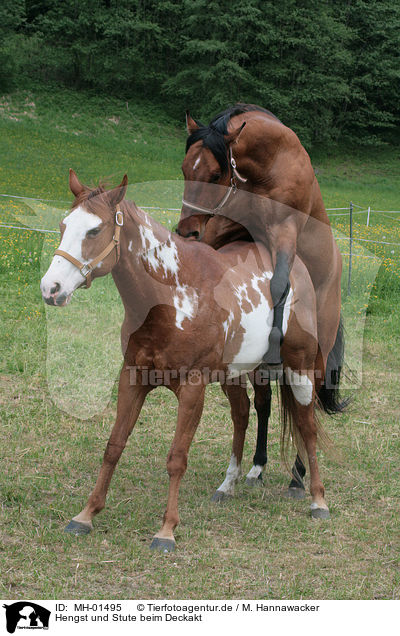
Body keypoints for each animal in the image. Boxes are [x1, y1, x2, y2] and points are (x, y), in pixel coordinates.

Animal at [39, 170, 332, 552]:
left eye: (94, 230)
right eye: (63, 225)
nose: (51, 288)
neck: (171, 298)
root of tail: (296, 269)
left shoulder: (192, 390)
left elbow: (177, 459)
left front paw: (166, 530)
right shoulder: (132, 379)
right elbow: (114, 446)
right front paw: (86, 514)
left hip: (300, 368)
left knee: (307, 427)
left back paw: (317, 499)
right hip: (235, 374)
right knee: (243, 415)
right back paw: (228, 485)